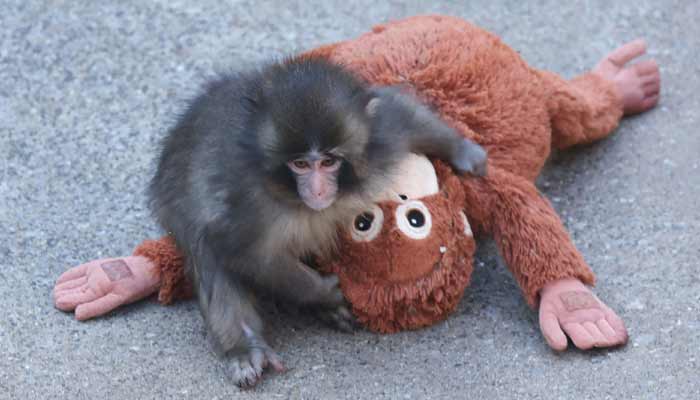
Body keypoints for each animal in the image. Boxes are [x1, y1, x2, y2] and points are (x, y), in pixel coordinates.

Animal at [147, 57, 487, 387]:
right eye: (300, 164)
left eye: (328, 161)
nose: (318, 190)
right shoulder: (246, 202)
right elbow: (245, 253)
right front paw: (325, 292)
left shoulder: (379, 138)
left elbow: (400, 113)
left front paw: (464, 151)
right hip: (173, 205)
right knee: (205, 249)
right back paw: (245, 346)